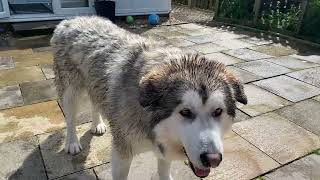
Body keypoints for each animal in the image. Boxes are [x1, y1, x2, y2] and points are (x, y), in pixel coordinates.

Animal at [52, 16, 248, 179]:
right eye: (185, 112)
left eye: (218, 111)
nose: (213, 159)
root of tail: (72, 19)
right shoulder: (122, 153)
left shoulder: (163, 151)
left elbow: (164, 172)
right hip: (71, 93)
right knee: (70, 118)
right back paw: (72, 142)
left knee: (96, 102)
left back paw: (97, 124)